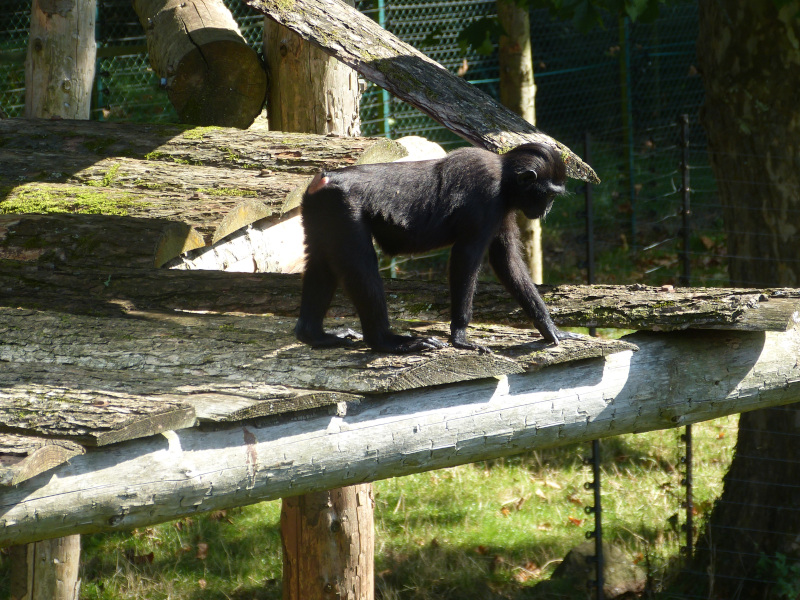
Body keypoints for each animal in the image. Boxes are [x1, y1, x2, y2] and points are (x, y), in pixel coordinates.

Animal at [294, 142, 572, 354]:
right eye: (549, 195)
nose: (547, 209)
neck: (505, 177)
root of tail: (327, 180)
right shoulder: (488, 198)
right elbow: (466, 257)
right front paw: (460, 337)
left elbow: (507, 261)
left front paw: (548, 327)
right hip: (343, 211)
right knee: (361, 267)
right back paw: (386, 342)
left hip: (320, 210)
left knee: (321, 261)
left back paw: (313, 334)